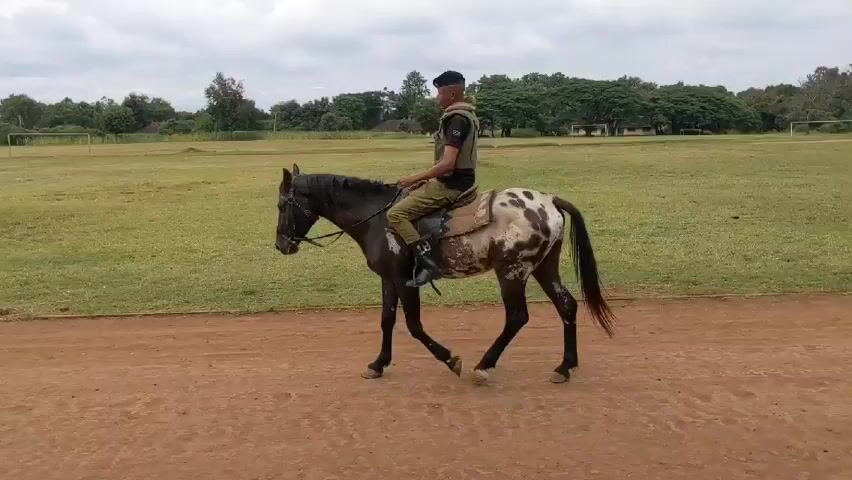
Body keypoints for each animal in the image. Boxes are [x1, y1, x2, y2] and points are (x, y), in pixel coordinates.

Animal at [275, 164, 616, 384]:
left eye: (280, 205)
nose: (281, 245)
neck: (376, 216)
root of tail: (549, 200)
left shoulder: (405, 281)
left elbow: (414, 326)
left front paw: (450, 359)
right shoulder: (388, 279)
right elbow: (387, 320)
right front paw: (378, 363)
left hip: (512, 271)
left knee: (517, 317)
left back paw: (484, 365)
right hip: (544, 268)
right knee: (566, 306)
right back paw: (564, 366)